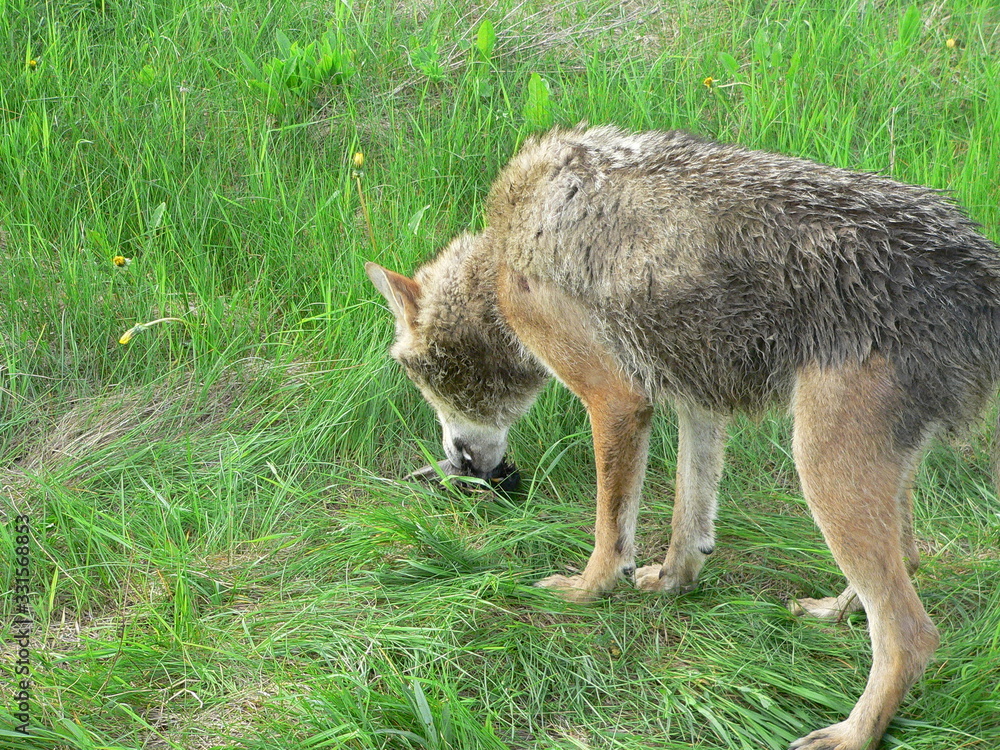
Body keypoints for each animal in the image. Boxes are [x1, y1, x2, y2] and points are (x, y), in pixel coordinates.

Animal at [366, 125, 1000, 750]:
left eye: (415, 375)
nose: (457, 464)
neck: (502, 256)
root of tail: (980, 276)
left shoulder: (618, 401)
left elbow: (611, 530)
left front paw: (588, 592)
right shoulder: (699, 399)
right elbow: (689, 514)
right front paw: (673, 582)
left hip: (821, 468)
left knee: (910, 634)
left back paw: (851, 734)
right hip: (869, 473)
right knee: (908, 561)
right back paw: (829, 612)